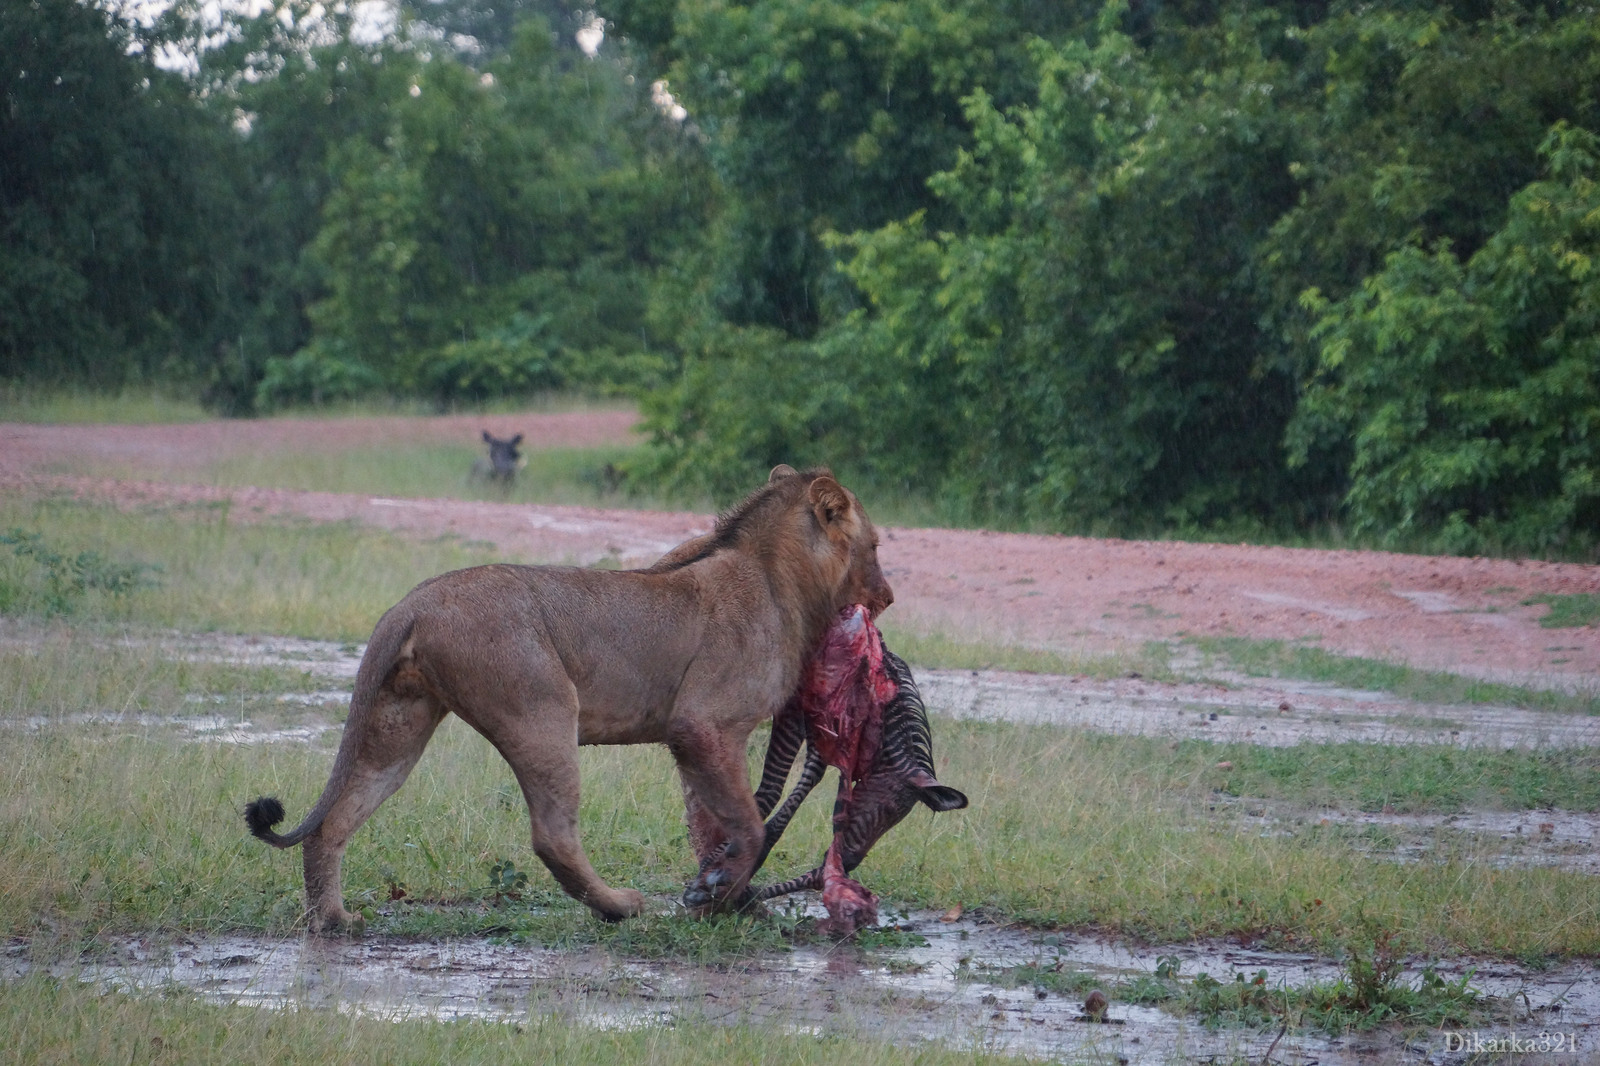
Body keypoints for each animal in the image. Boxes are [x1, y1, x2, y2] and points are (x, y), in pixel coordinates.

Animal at [244, 460, 896, 928]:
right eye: (876, 546)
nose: (888, 597)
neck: (779, 576)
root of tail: (414, 602)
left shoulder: (700, 742)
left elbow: (713, 824)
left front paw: (723, 893)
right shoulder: (703, 724)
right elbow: (750, 824)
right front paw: (718, 895)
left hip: (397, 724)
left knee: (336, 820)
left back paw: (332, 920)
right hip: (543, 711)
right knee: (553, 835)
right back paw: (617, 907)